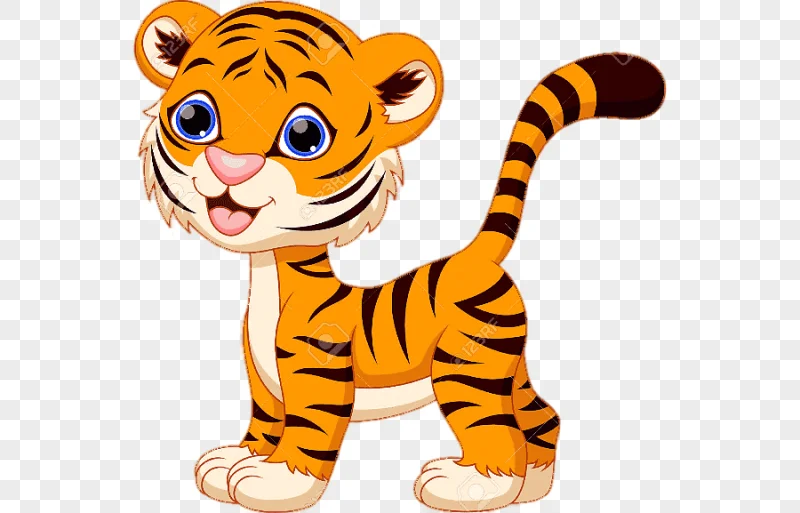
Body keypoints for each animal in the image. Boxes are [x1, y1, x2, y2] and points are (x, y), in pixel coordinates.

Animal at [134, 1, 665, 511]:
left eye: (304, 136)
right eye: (195, 119)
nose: (232, 168)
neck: (270, 275)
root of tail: (474, 255)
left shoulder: (317, 371)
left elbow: (308, 434)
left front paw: (273, 482)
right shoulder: (264, 383)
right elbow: (265, 422)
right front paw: (236, 460)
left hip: (467, 365)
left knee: (496, 430)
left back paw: (472, 486)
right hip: (508, 365)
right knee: (543, 414)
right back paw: (532, 488)